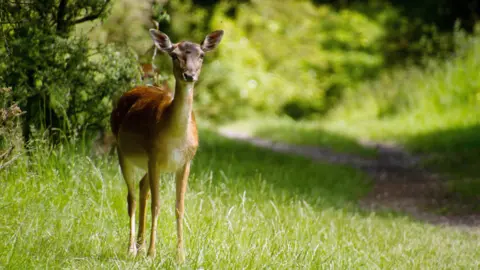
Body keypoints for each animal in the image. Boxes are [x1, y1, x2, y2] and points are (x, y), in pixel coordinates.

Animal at [110, 28, 223, 262]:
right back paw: (133, 248)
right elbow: (157, 204)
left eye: (201, 55)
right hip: (122, 151)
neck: (176, 139)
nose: (189, 75)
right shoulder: (154, 156)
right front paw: (152, 253)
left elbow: (179, 207)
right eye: (174, 55)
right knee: (131, 196)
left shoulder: (186, 162)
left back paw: (141, 244)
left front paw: (181, 255)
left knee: (142, 188)